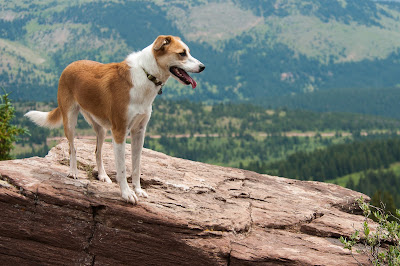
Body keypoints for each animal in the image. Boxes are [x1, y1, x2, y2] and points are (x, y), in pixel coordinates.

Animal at [25, 35, 206, 205]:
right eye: (182, 53)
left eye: (188, 51)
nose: (203, 67)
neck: (146, 74)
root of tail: (70, 65)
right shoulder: (119, 132)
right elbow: (122, 168)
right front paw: (126, 194)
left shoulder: (139, 132)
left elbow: (136, 166)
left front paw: (138, 190)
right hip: (70, 120)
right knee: (72, 148)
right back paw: (73, 172)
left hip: (101, 128)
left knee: (97, 152)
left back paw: (103, 175)